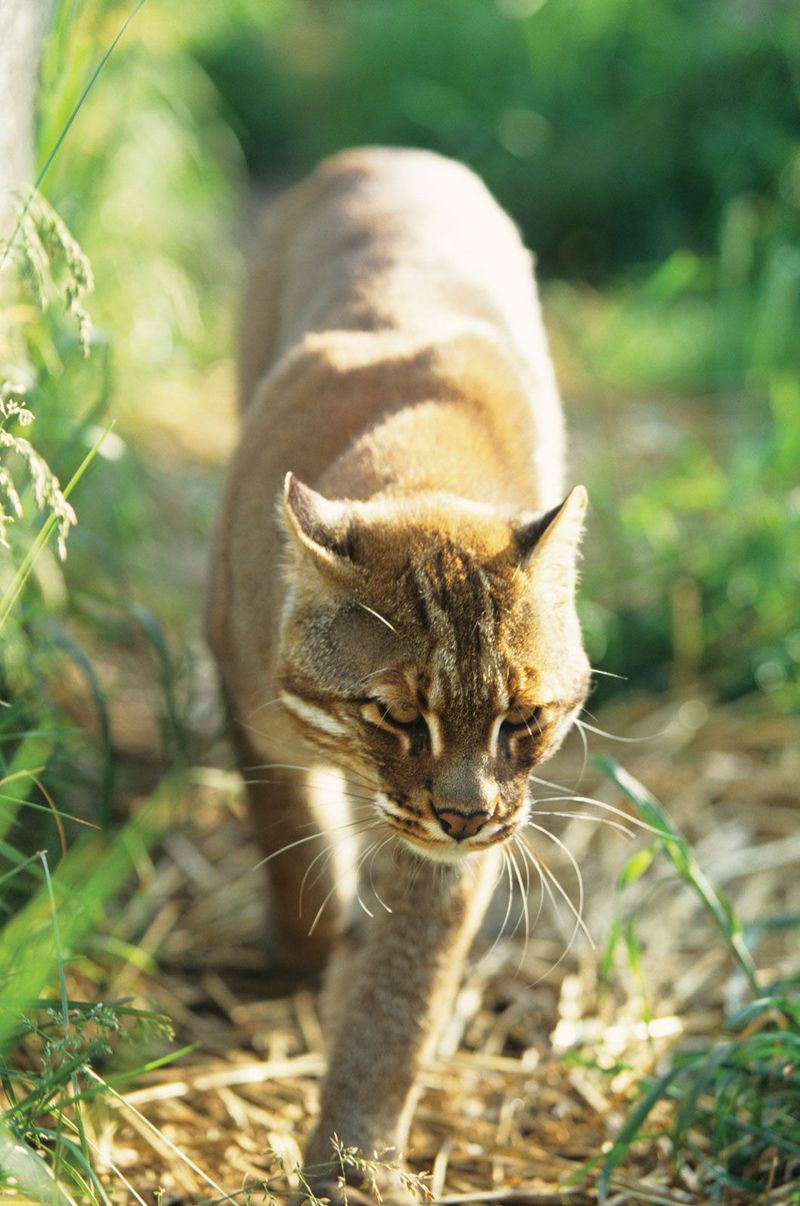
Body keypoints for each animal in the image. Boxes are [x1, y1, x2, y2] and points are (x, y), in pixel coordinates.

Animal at [209, 145, 591, 1201]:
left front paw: (353, 1159)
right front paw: (312, 941)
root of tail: (390, 152)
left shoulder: (473, 834)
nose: (463, 815)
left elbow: (406, 989)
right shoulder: (245, 699)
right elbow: (289, 840)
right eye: (394, 715)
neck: (420, 469)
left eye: (522, 720)